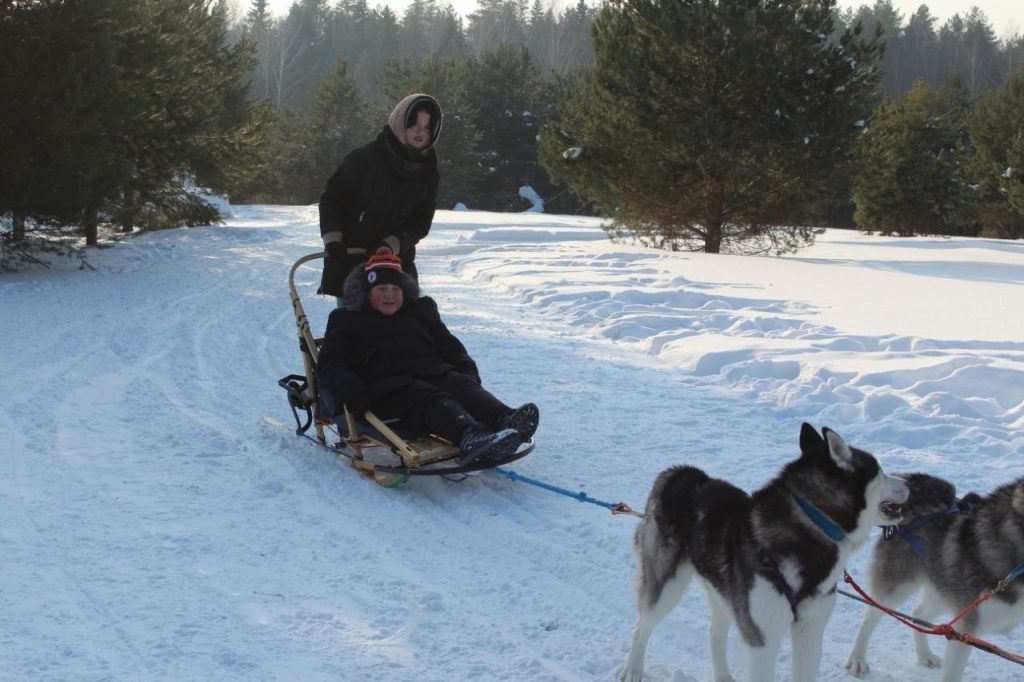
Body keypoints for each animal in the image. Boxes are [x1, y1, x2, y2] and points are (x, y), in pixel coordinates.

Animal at [614, 419, 905, 679]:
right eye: (879, 471)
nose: (907, 484)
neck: (813, 520)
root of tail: (678, 472)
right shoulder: (762, 640)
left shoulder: (810, 632)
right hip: (666, 586)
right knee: (642, 624)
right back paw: (632, 670)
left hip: (724, 593)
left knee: (714, 633)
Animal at [847, 473, 1024, 679]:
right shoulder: (965, 630)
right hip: (897, 587)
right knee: (869, 618)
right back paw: (857, 658)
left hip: (945, 589)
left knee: (918, 614)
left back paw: (925, 655)